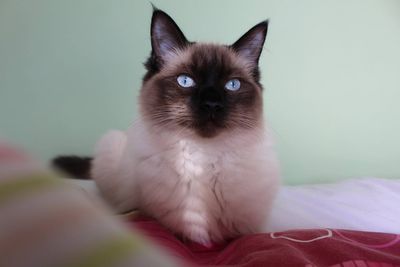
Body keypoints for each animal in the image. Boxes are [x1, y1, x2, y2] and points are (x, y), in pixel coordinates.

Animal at [54, 7, 280, 247]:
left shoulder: (245, 231)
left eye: (232, 85)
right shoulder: (163, 221)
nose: (211, 104)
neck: (203, 157)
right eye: (185, 81)